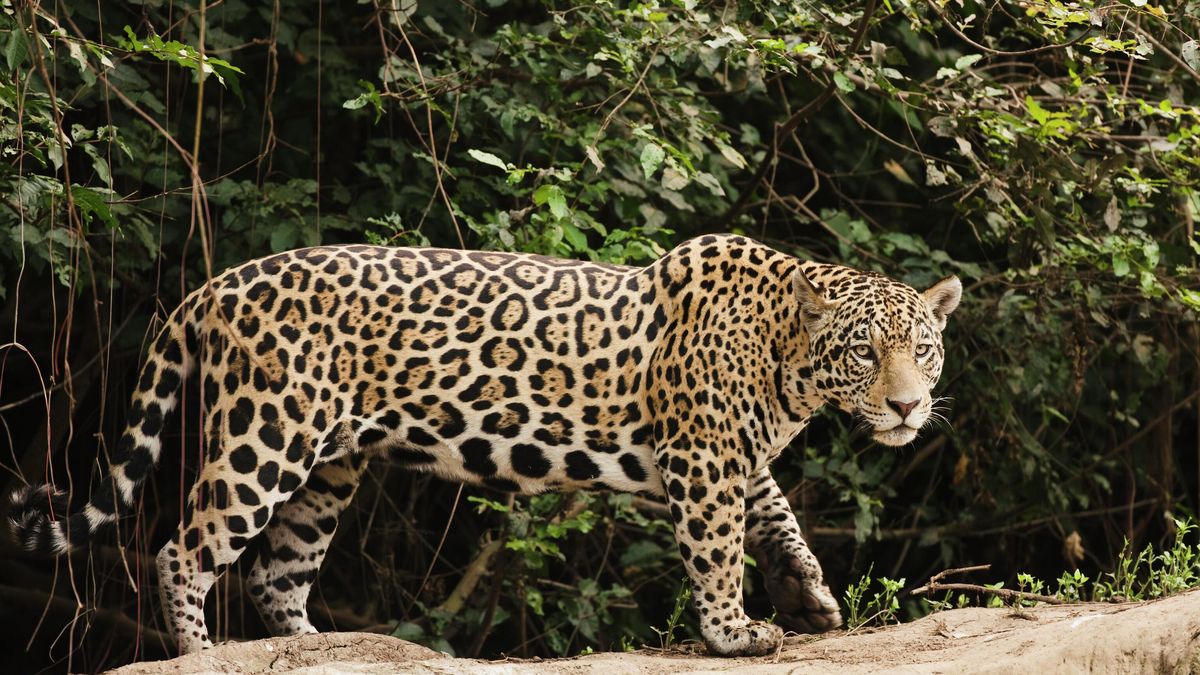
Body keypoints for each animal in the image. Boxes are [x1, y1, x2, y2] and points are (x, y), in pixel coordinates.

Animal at [8, 233, 960, 657]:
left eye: (923, 346)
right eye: (865, 351)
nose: (908, 406)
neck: (787, 356)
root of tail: (216, 282)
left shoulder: (723, 456)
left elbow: (779, 515)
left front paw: (810, 597)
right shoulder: (702, 458)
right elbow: (719, 546)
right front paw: (735, 632)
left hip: (330, 465)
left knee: (277, 572)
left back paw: (317, 647)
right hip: (266, 434)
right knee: (184, 548)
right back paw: (200, 653)